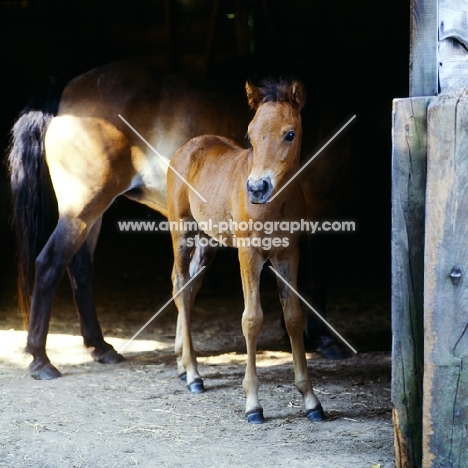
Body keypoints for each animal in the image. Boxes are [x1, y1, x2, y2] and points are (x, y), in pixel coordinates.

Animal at [8, 60, 249, 380]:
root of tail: (66, 88)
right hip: (81, 209)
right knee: (50, 263)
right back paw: (40, 359)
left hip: (91, 213)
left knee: (80, 267)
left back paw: (100, 347)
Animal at [167, 77, 326, 424]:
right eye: (250, 134)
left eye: (289, 134)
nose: (256, 188)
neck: (275, 205)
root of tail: (187, 147)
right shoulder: (248, 253)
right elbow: (252, 319)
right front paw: (253, 404)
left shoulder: (288, 254)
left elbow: (293, 316)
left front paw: (311, 401)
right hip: (182, 229)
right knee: (179, 284)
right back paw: (194, 375)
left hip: (208, 240)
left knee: (189, 286)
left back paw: (183, 365)